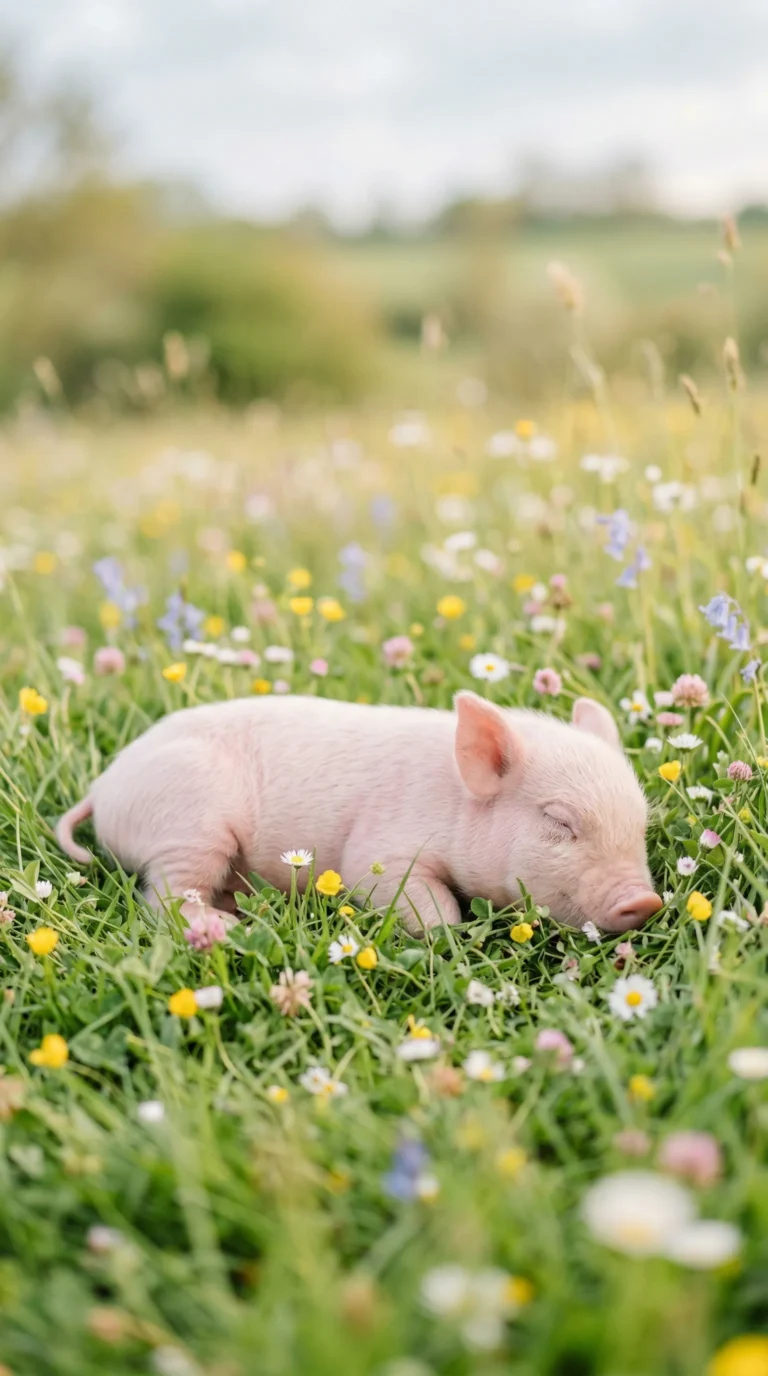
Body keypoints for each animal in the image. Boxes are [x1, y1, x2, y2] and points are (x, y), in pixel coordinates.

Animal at [56, 691, 661, 936]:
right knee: (163, 898)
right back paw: (227, 927)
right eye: (560, 822)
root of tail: (105, 787)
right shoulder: (380, 852)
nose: (645, 900)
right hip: (189, 822)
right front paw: (449, 935)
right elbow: (422, 902)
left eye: (641, 826)